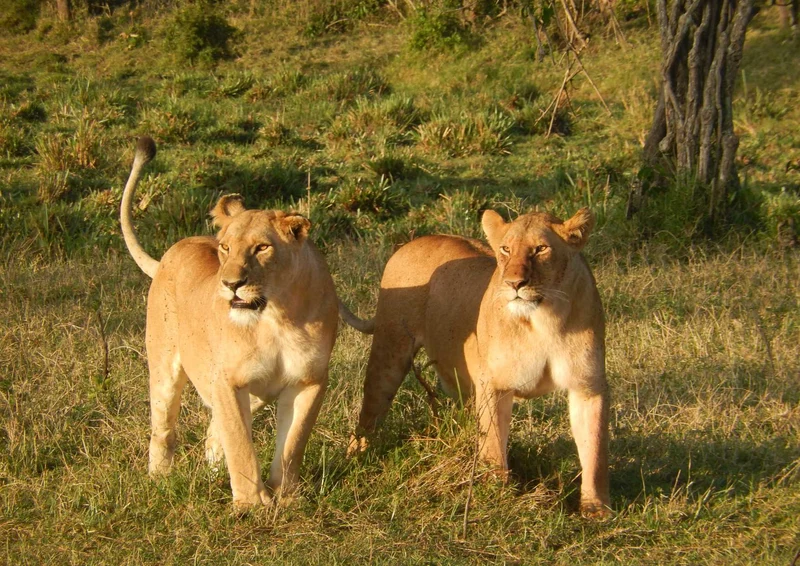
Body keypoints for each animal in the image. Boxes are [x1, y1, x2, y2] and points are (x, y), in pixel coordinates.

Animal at [120, 136, 339, 508]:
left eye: (262, 248)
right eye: (224, 247)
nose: (230, 283)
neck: (277, 316)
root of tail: (171, 251)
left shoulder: (308, 381)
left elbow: (292, 442)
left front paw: (286, 497)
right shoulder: (228, 380)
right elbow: (240, 443)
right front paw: (252, 505)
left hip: (254, 391)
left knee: (213, 430)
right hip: (166, 367)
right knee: (164, 427)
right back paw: (161, 479)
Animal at [343, 208, 610, 516]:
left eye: (541, 249)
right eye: (505, 249)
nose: (514, 284)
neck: (544, 319)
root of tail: (410, 243)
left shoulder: (588, 386)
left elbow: (595, 448)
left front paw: (596, 509)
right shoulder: (493, 384)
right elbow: (493, 443)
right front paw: (498, 496)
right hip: (389, 354)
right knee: (369, 412)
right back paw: (356, 458)